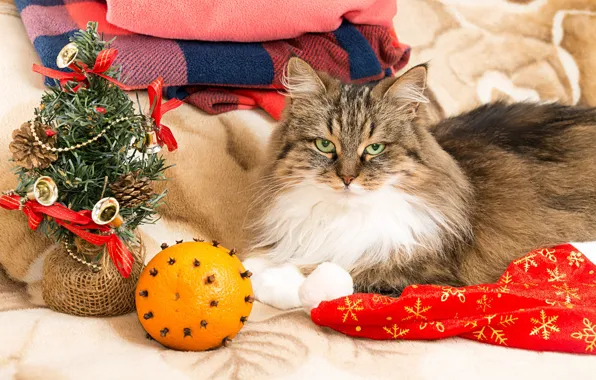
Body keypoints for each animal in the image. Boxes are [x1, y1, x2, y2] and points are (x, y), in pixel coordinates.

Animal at [240, 58, 596, 310]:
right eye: (325, 145)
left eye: (375, 148)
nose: (347, 178)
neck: (343, 217)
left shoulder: (426, 276)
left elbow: (341, 274)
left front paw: (277, 280)